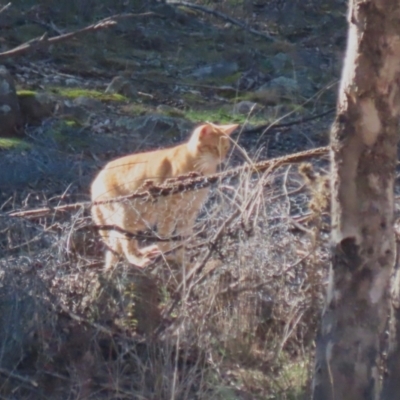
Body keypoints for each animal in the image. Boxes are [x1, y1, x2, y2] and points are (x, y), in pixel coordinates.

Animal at [90, 123, 239, 270]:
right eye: (214, 148)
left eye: (226, 148)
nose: (222, 158)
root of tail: (95, 182)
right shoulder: (168, 210)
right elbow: (165, 236)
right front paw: (168, 255)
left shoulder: (189, 212)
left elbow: (182, 239)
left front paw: (183, 262)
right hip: (126, 215)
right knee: (124, 244)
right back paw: (138, 260)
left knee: (116, 246)